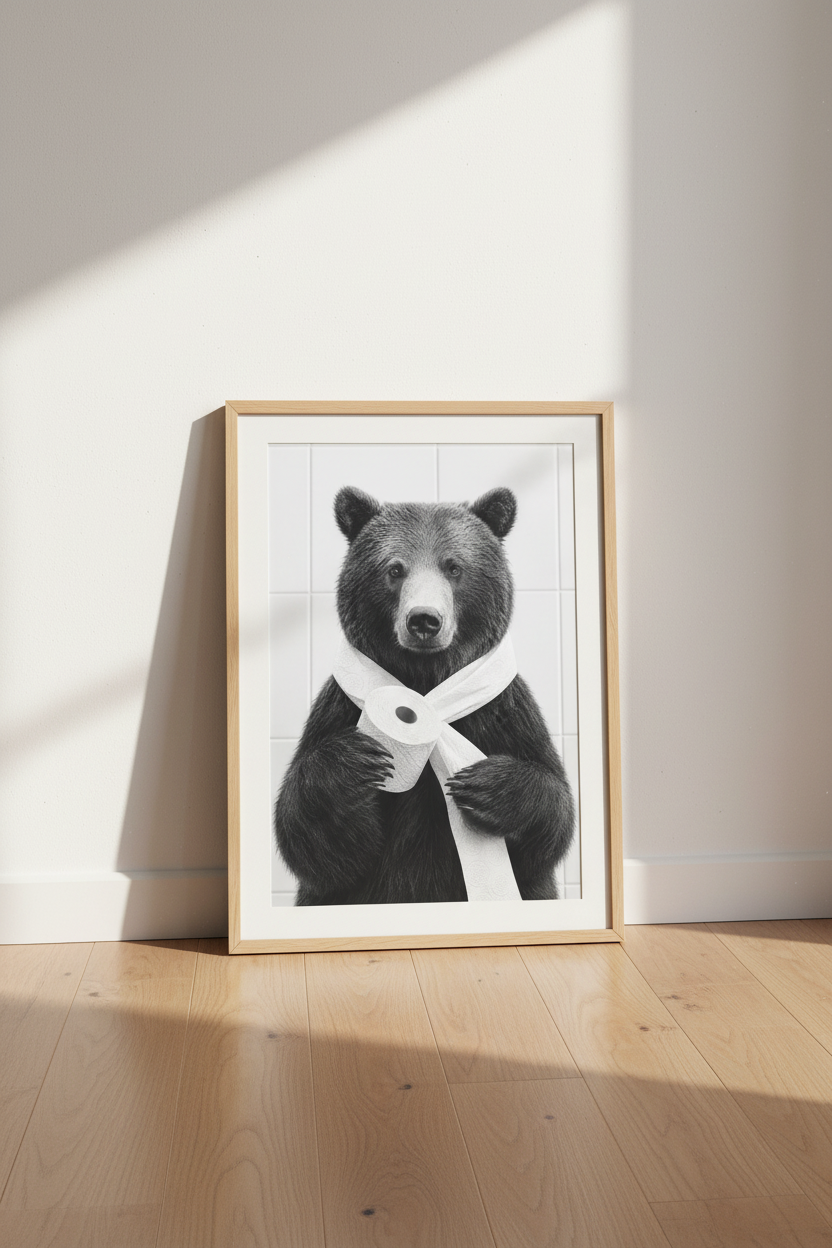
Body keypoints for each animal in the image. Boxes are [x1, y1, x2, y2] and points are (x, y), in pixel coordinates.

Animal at [273, 484, 575, 906]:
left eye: (454, 567)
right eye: (395, 569)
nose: (424, 620)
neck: (425, 681)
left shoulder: (503, 714)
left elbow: (551, 816)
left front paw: (482, 785)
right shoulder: (337, 710)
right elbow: (314, 843)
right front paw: (357, 762)